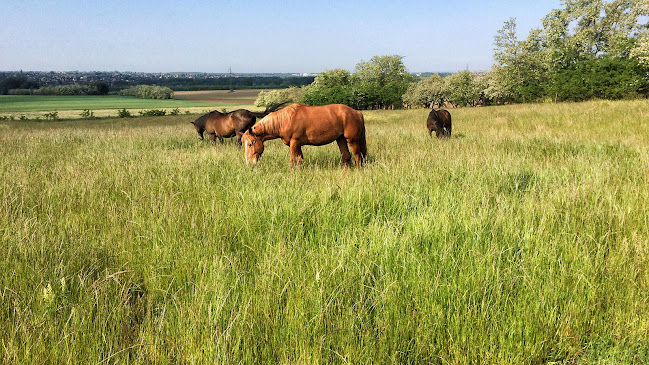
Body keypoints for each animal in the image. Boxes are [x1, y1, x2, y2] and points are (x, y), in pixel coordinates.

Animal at [240, 102, 368, 168]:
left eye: (250, 144)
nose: (249, 164)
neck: (285, 120)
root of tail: (356, 112)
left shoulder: (294, 142)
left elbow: (293, 160)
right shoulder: (298, 145)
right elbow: (300, 160)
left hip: (352, 140)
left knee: (358, 155)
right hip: (340, 139)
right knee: (346, 156)